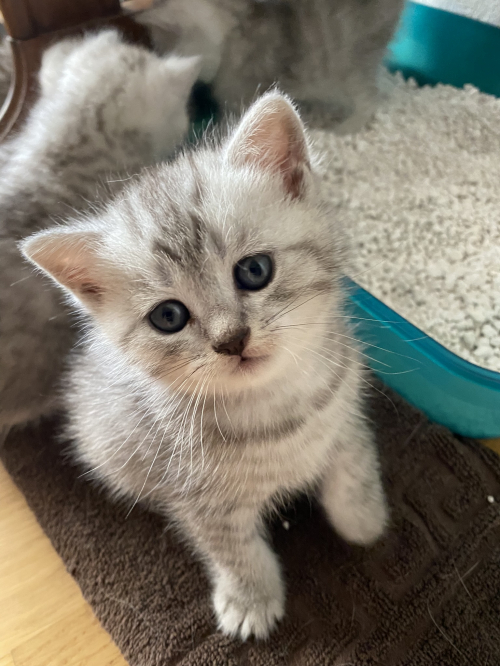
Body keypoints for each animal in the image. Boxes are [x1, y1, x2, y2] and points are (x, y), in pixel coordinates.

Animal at [23, 91, 388, 636]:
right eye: (168, 317)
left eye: (254, 270)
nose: (231, 339)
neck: (279, 409)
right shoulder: (197, 497)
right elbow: (234, 549)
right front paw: (251, 598)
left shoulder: (345, 411)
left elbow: (354, 463)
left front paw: (364, 518)